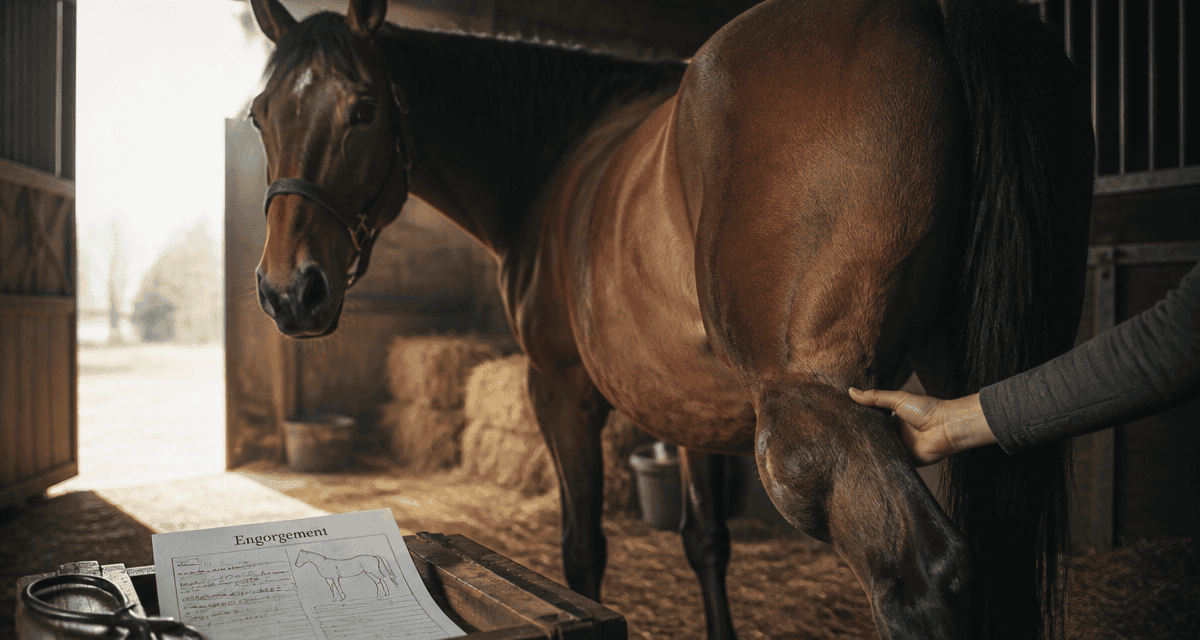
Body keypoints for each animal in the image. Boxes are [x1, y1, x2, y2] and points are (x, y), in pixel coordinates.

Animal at [248, 0, 1094, 637]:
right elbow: (706, 542)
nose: (290, 292)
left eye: (362, 109)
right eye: (260, 116)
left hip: (811, 419)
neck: (554, 159)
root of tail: (931, 10)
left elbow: (582, 553)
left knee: (922, 576)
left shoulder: (560, 390)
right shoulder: (694, 407)